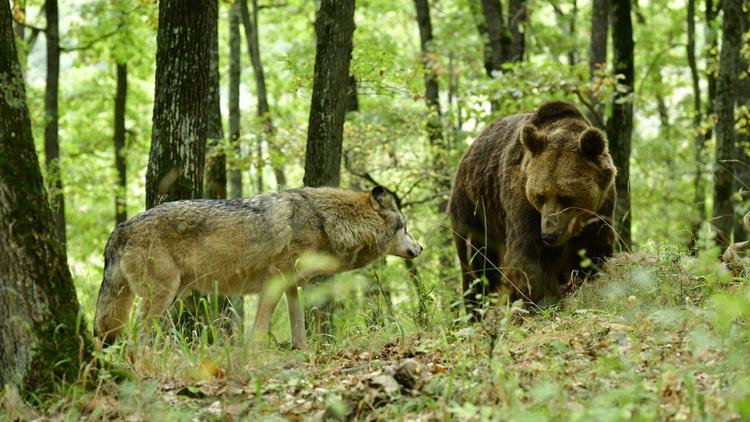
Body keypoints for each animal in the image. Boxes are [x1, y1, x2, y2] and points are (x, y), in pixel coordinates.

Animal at [94, 186, 424, 348]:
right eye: (406, 227)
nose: (420, 248)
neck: (325, 221)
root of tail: (119, 229)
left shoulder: (291, 286)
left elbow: (298, 325)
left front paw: (301, 351)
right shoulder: (274, 281)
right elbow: (261, 325)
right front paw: (254, 353)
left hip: (169, 298)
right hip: (163, 296)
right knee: (138, 334)